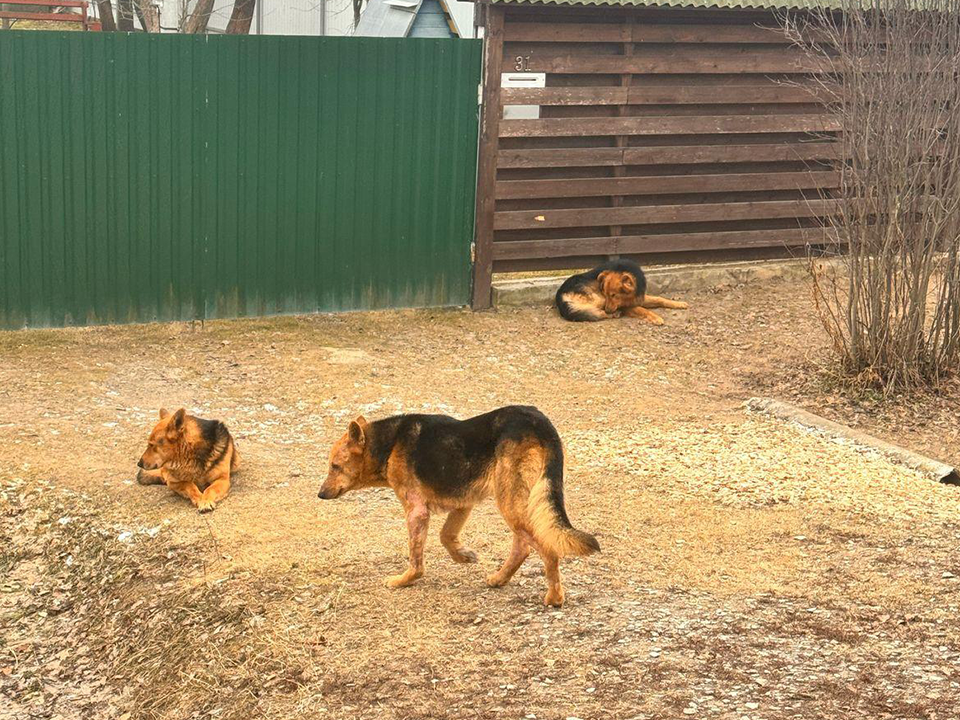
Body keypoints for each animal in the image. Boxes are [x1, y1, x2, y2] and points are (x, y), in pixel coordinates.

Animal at [556, 258, 688, 326]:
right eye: (605, 293)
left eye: (614, 295)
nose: (609, 310)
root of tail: (559, 296)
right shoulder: (626, 305)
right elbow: (643, 310)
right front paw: (656, 317)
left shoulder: (638, 297)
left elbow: (660, 299)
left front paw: (678, 304)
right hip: (598, 299)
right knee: (598, 312)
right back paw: (613, 314)